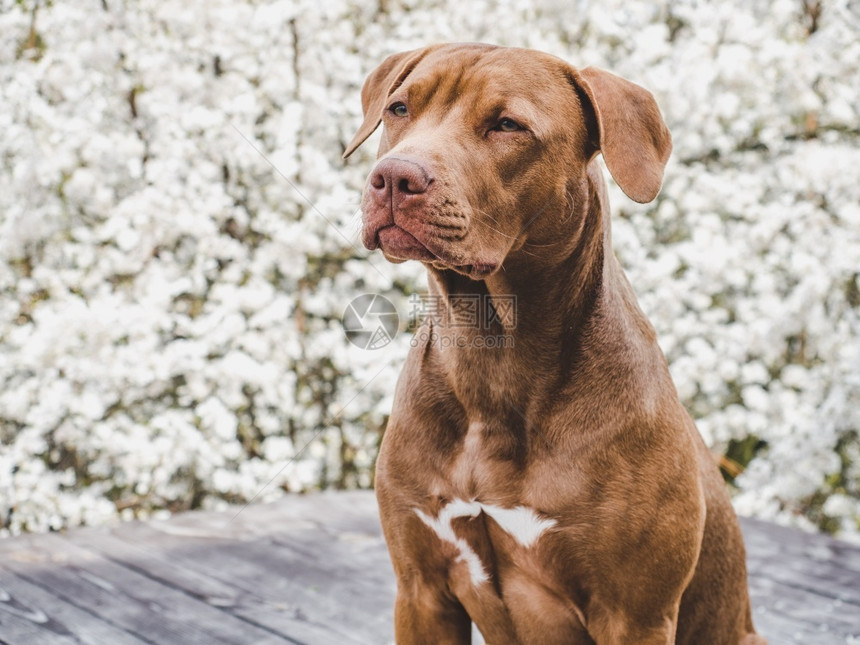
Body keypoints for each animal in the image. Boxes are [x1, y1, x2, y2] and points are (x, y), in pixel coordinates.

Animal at [342, 44, 764, 644]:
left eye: (507, 125)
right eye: (400, 108)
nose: (395, 176)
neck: (491, 355)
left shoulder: (634, 615)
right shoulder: (421, 590)